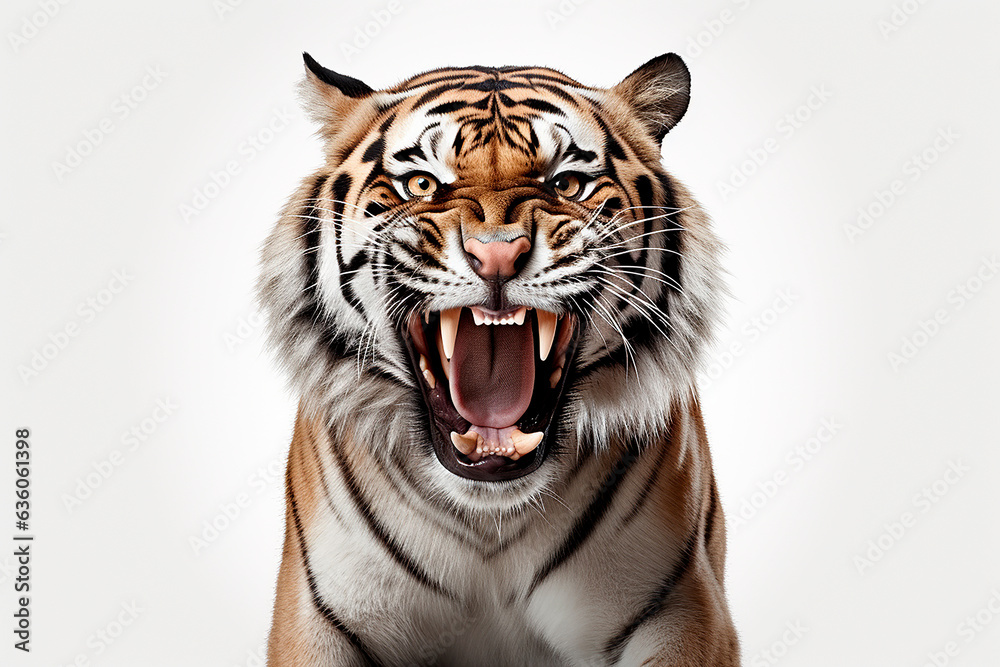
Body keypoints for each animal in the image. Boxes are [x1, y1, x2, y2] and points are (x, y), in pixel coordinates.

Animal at [258, 50, 739, 666]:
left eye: (567, 183)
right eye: (421, 183)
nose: (497, 255)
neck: (489, 516)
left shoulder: (680, 610)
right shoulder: (319, 617)